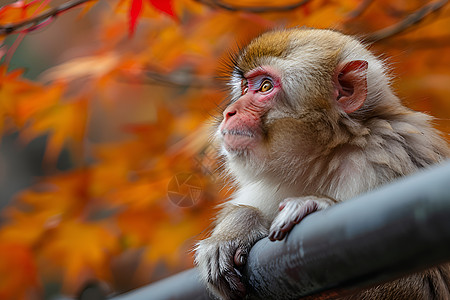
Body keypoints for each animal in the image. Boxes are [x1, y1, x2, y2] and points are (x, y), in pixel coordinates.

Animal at [195, 28, 450, 300]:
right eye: (245, 88)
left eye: (265, 86)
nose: (229, 112)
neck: (324, 157)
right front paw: (236, 228)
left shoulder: (385, 160)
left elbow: (425, 285)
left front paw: (313, 205)